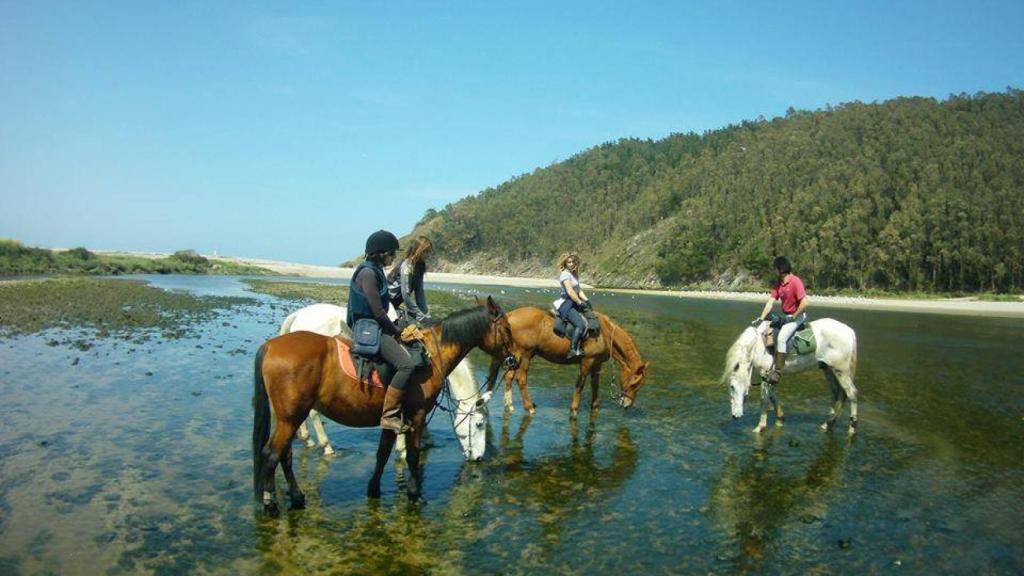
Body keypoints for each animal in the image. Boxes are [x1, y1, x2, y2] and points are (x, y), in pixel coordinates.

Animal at [278, 303, 489, 459]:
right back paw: (326, 446)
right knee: (313, 413)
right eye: (479, 424)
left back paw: (306, 438)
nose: (478, 457)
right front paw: (404, 447)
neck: (432, 355)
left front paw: (425, 439)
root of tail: (297, 315)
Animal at [481, 307, 647, 414]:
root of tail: (509, 316)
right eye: (634, 383)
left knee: (508, 377)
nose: (627, 404)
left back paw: (508, 405)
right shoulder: (587, 361)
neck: (604, 333)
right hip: (525, 355)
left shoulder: (597, 363)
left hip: (516, 356)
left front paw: (595, 406)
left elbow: (595, 385)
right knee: (520, 379)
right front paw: (574, 408)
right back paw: (529, 407)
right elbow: (580, 384)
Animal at [724, 315, 860, 432]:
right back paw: (827, 423)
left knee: (851, 393)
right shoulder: (769, 376)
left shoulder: (766, 372)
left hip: (840, 370)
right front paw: (780, 418)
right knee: (837, 393)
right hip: (828, 369)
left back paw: (850, 427)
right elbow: (773, 396)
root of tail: (850, 332)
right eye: (731, 387)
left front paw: (760, 427)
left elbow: (764, 400)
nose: (735, 416)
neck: (758, 346)